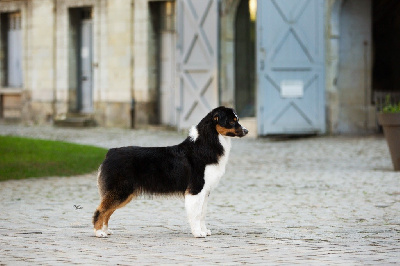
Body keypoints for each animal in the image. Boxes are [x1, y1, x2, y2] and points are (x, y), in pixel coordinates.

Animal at [93, 107, 247, 238]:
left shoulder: (205, 190)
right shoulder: (196, 189)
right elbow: (196, 213)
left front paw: (204, 231)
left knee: (107, 211)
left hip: (124, 193)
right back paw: (99, 232)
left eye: (237, 119)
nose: (246, 131)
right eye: (232, 121)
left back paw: (106, 230)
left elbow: (202, 213)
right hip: (120, 190)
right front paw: (198, 233)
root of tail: (110, 153)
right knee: (101, 210)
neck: (207, 144)